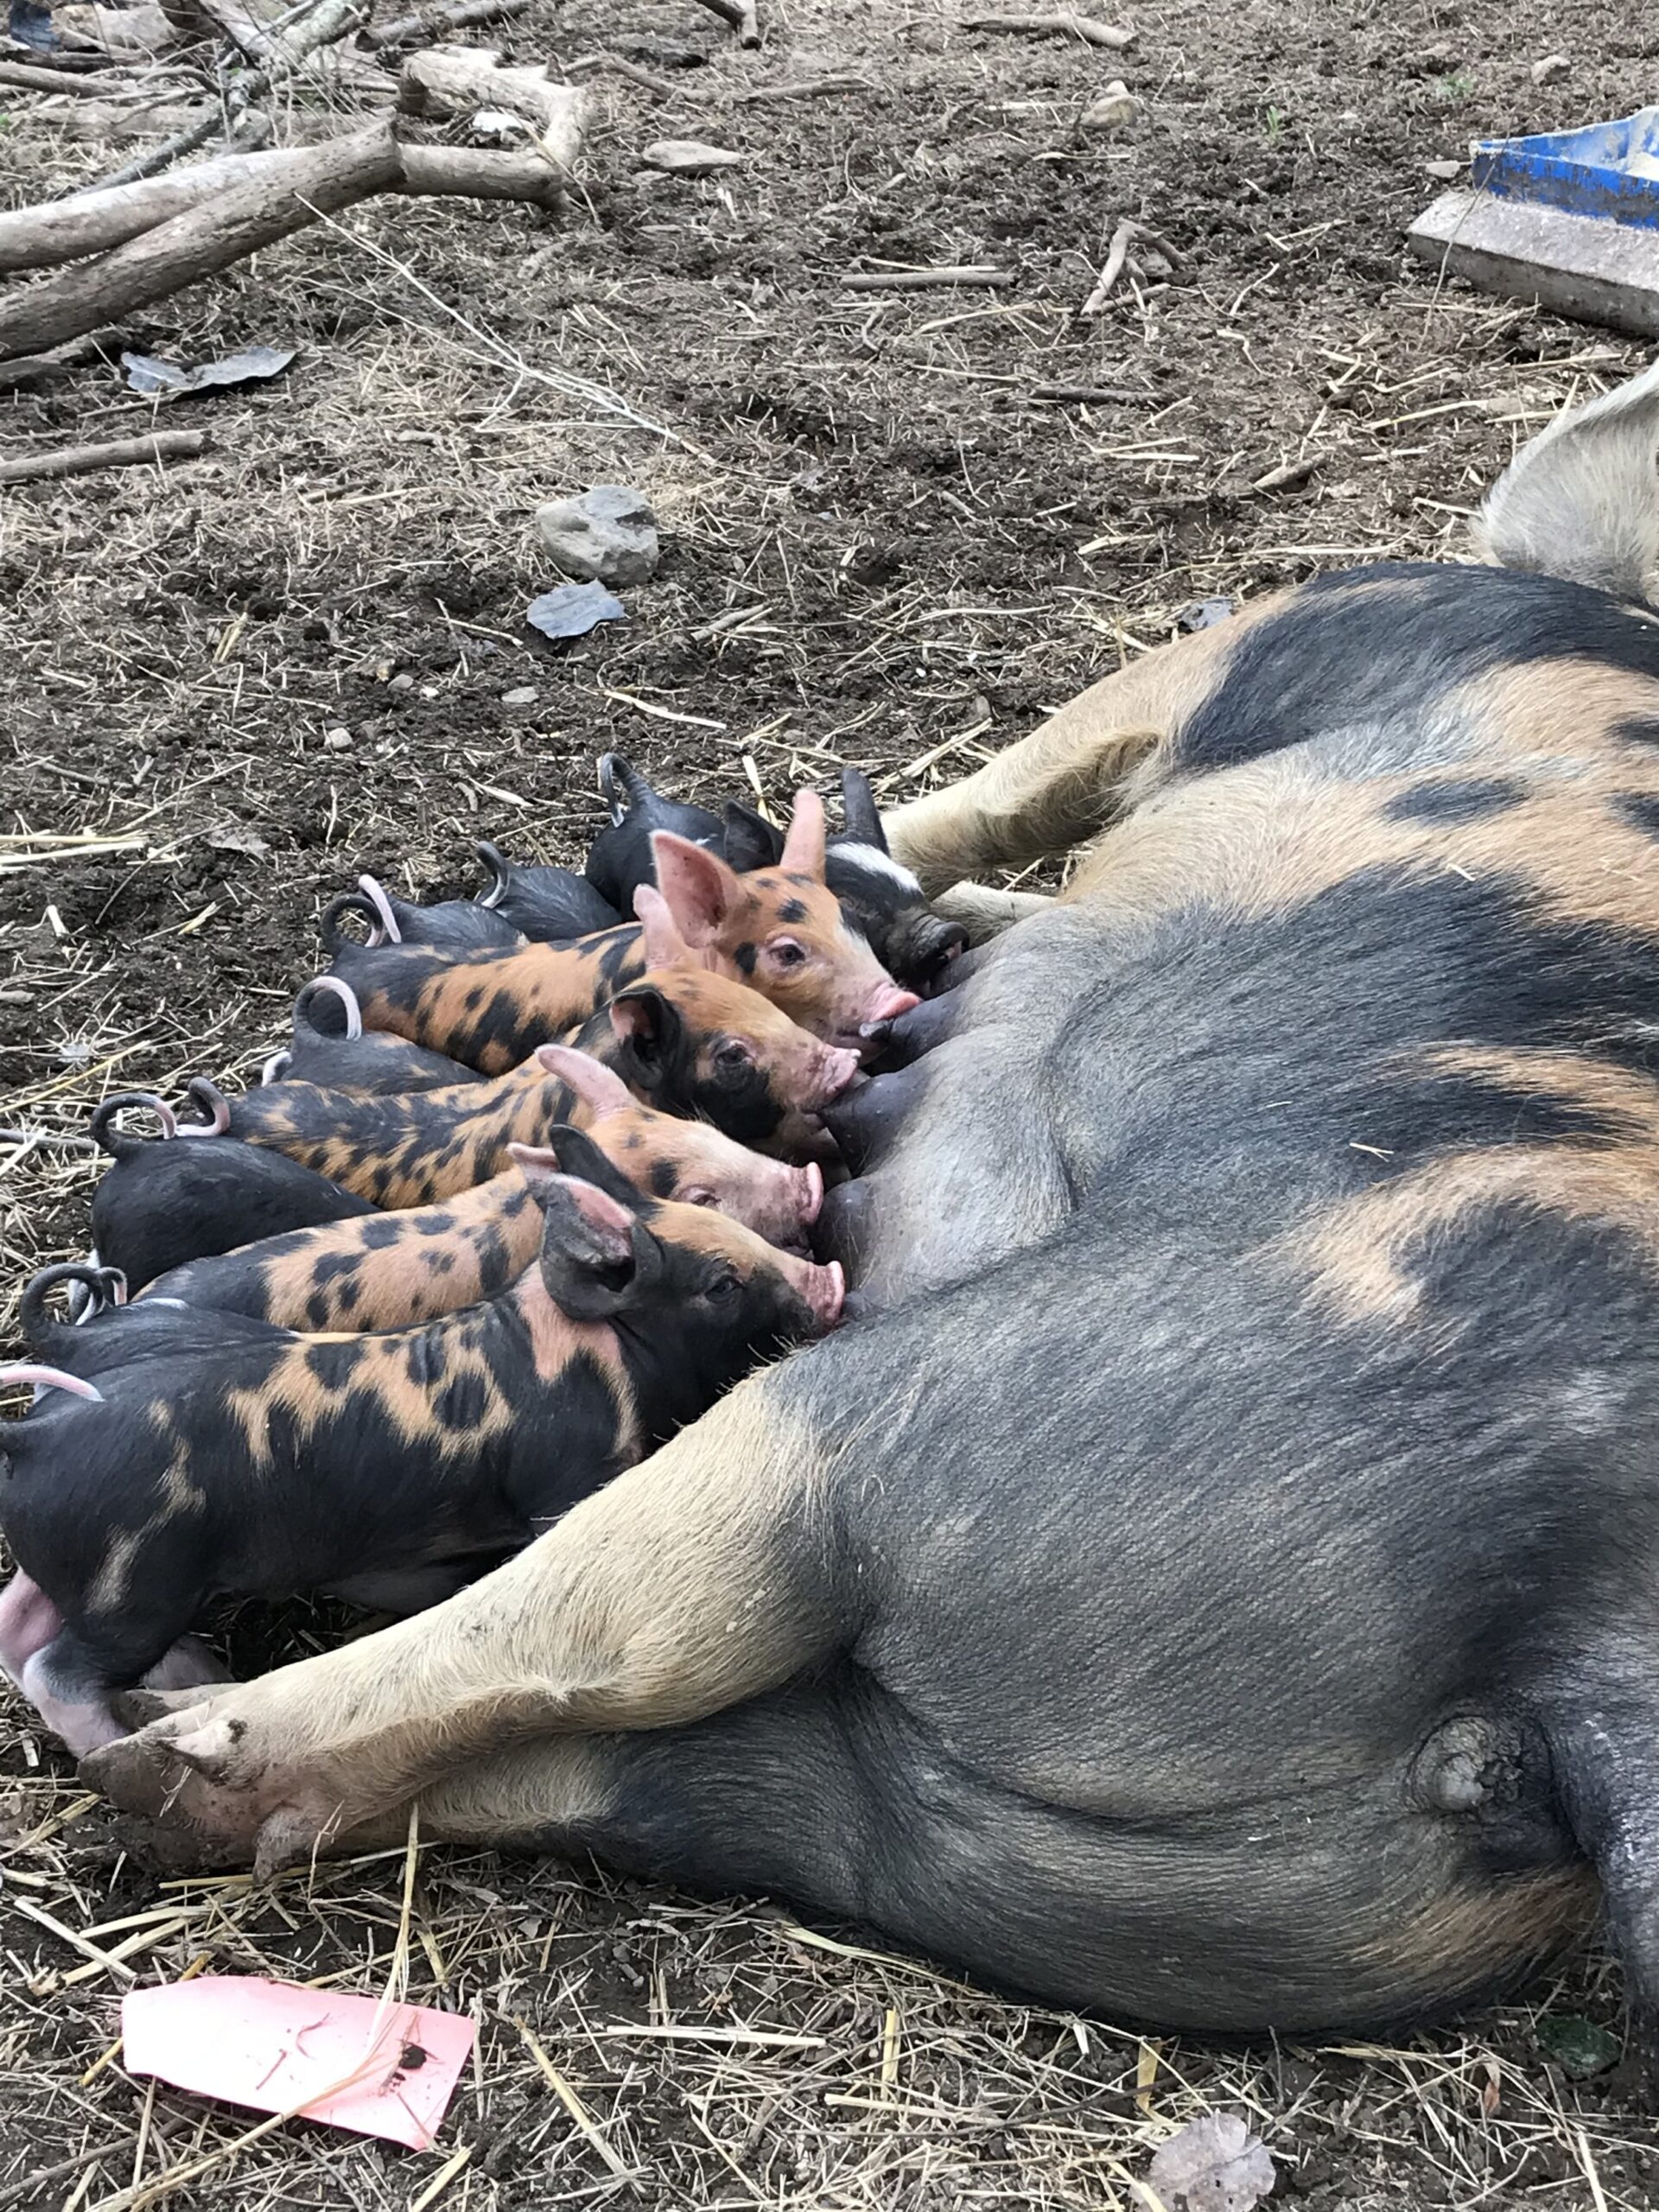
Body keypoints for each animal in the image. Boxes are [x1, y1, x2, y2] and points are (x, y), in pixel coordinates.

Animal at [0, 1125, 844, 1755]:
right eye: (721, 1284)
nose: (831, 1282)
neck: (597, 1354)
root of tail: (34, 1437)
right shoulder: (565, 1475)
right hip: (138, 1581)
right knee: (55, 1672)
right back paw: (113, 1745)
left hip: (94, 1576)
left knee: (21, 1621)